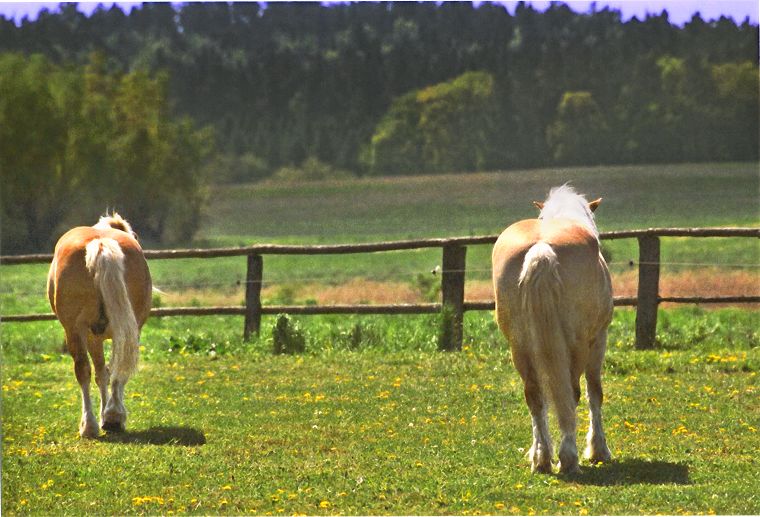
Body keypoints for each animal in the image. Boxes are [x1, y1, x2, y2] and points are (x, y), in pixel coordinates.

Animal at [47, 212, 151, 438]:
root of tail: (101, 242)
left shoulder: (92, 337)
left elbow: (100, 373)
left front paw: (104, 416)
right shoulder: (99, 337)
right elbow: (106, 373)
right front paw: (109, 415)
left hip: (74, 332)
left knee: (83, 370)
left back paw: (90, 424)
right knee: (115, 369)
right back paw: (110, 418)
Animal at [492, 185, 612, 472]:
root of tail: (541, 248)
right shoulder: (598, 339)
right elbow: (595, 393)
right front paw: (599, 449)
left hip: (519, 347)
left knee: (534, 396)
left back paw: (541, 457)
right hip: (577, 345)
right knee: (571, 394)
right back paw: (568, 457)